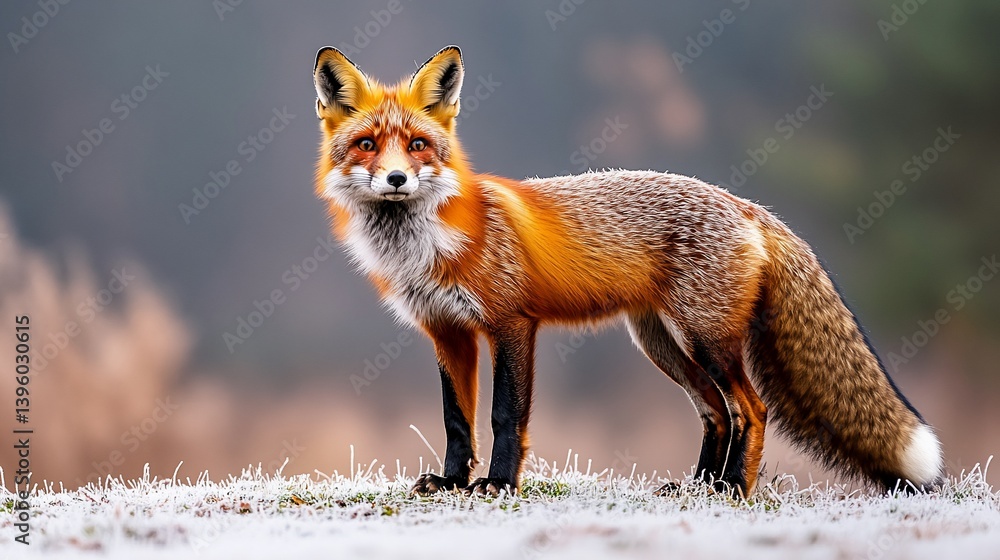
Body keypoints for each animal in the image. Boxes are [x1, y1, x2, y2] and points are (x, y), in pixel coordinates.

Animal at [311, 45, 944, 497]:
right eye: (367, 144)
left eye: (418, 144)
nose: (397, 179)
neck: (429, 244)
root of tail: (747, 205)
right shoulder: (448, 333)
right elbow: (455, 419)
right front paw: (449, 483)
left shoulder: (512, 325)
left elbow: (504, 413)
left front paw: (498, 485)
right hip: (662, 345)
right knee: (716, 412)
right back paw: (697, 487)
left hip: (707, 339)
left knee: (751, 409)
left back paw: (733, 490)